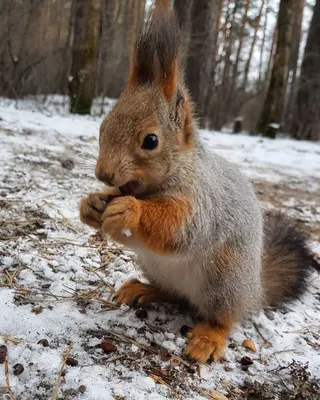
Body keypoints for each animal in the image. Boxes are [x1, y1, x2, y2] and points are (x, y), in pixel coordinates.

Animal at [79, 3, 318, 362]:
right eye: (103, 126)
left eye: (151, 141)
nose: (103, 174)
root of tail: (254, 290)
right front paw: (90, 205)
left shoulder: (203, 202)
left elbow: (179, 228)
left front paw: (130, 212)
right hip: (158, 267)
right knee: (173, 294)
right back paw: (143, 289)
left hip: (224, 279)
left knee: (223, 316)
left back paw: (208, 338)